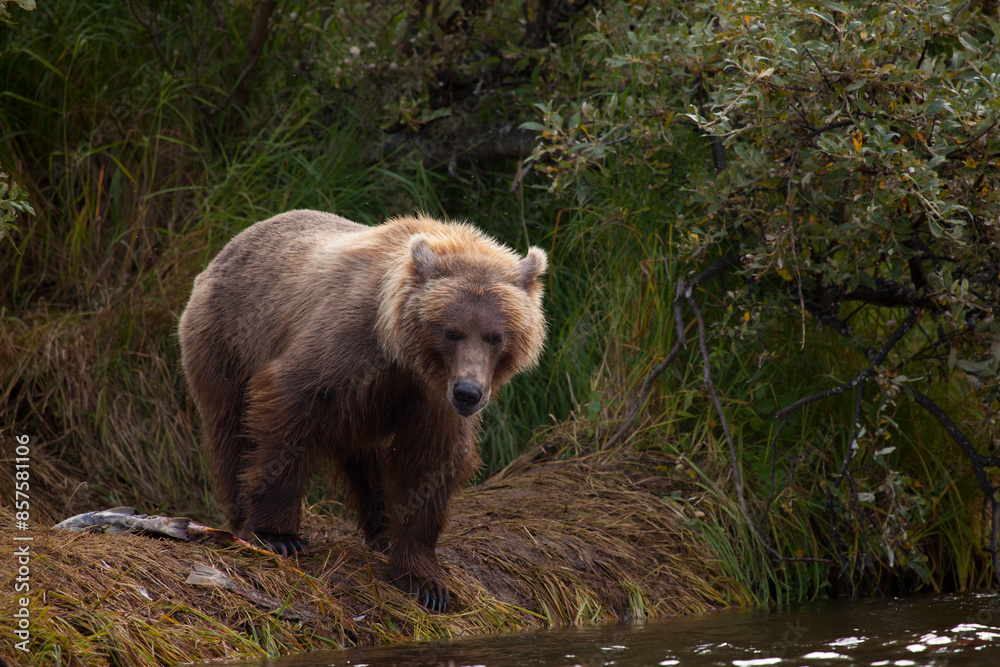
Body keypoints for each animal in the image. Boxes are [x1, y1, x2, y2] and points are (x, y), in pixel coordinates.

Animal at [178, 210, 547, 612]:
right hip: (228, 339)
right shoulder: (346, 345)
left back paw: (383, 530)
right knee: (232, 431)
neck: (401, 353)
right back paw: (240, 513)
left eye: (496, 336)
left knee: (368, 460)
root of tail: (224, 251)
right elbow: (288, 409)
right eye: (452, 332)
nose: (468, 393)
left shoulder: (431, 399)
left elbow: (429, 463)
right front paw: (278, 535)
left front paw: (424, 580)